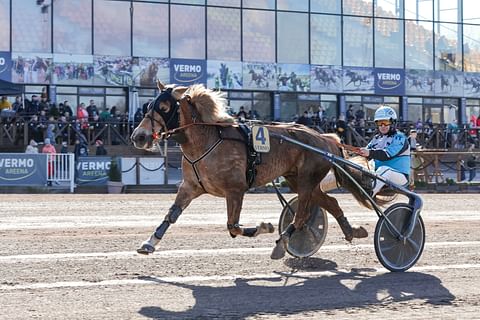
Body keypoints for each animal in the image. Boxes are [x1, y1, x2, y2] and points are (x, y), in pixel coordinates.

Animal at [131, 81, 378, 258]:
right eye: (148, 106)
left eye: (164, 107)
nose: (138, 136)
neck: (208, 141)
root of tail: (326, 138)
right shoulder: (190, 186)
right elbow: (171, 215)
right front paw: (149, 243)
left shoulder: (235, 190)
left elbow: (233, 226)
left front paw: (264, 227)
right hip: (298, 180)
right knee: (329, 203)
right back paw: (352, 231)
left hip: (308, 179)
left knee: (301, 216)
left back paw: (282, 243)